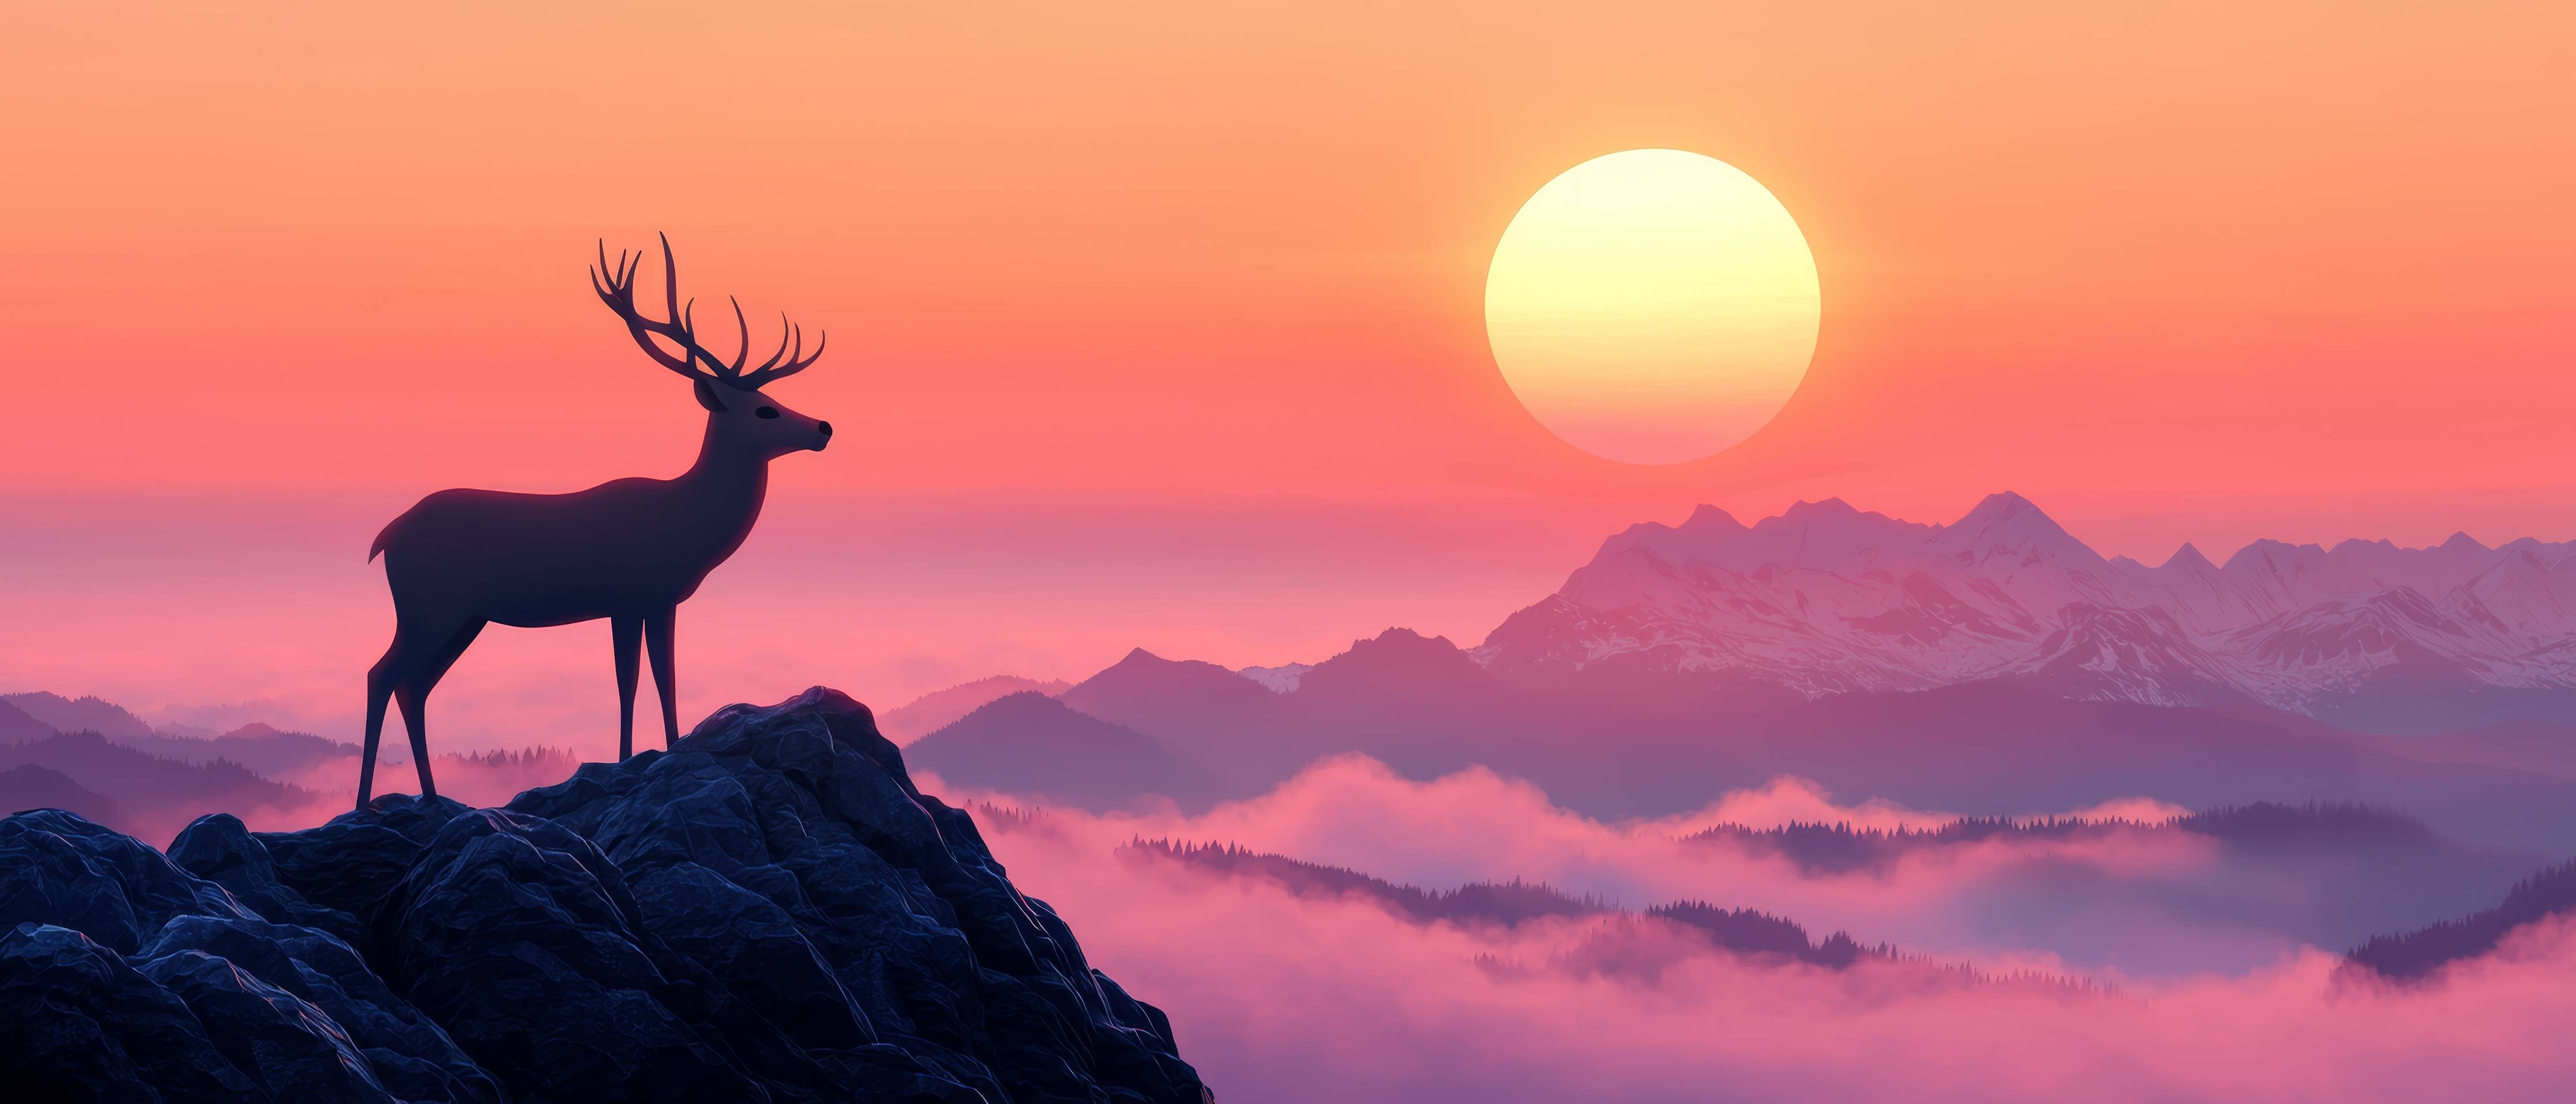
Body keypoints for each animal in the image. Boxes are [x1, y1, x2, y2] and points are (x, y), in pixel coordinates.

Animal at [356, 236, 833, 809]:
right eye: (765, 410)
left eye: (774, 400)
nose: (824, 427)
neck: (685, 525)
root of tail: (387, 536)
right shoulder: (627, 596)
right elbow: (629, 680)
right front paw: (628, 760)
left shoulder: (661, 600)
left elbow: (665, 676)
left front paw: (671, 747)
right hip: (428, 607)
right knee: (382, 674)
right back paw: (365, 800)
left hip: (462, 618)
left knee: (415, 687)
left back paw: (431, 795)